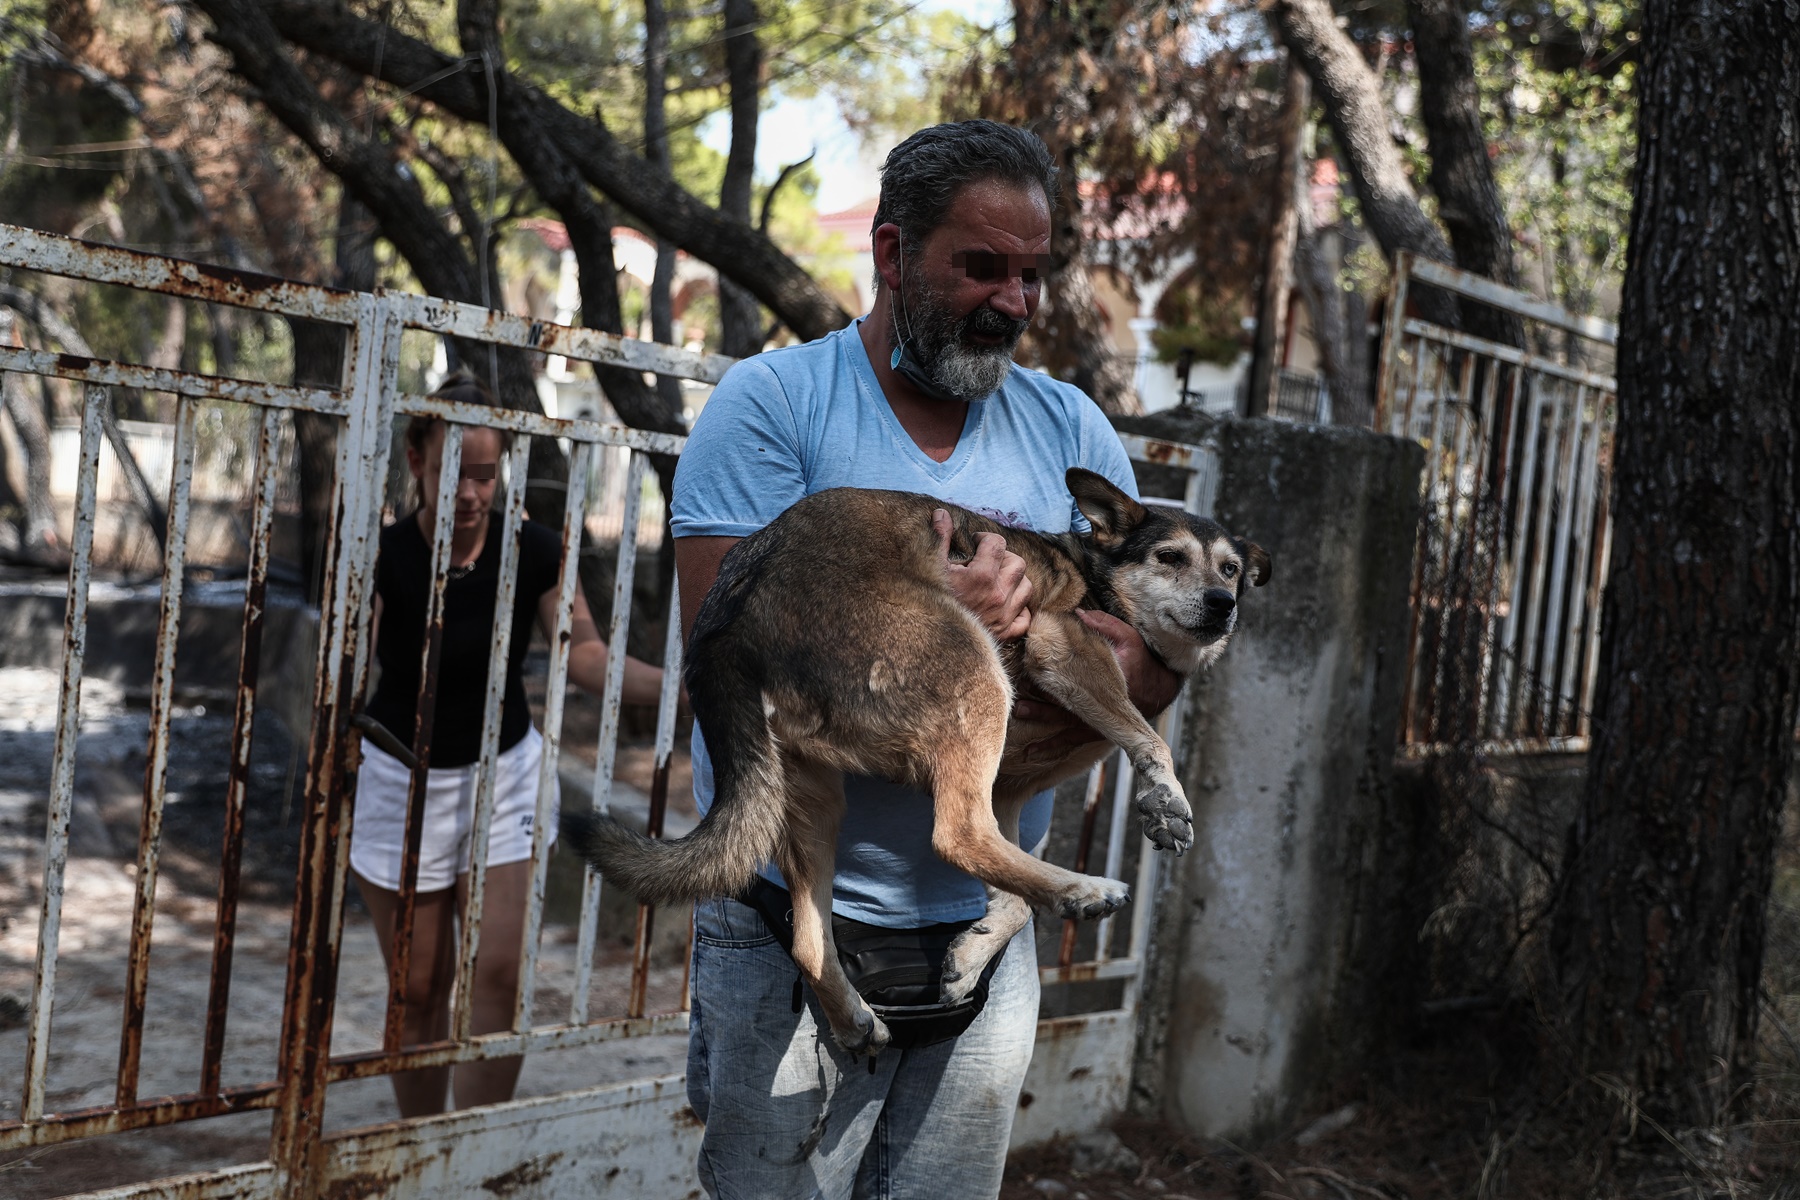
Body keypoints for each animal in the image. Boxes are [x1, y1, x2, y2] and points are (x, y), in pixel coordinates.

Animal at [561, 467, 1267, 1050]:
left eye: (1231, 569)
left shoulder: (1007, 786)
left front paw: (973, 954)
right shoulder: (1061, 644)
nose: (1223, 605)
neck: (1100, 580)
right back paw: (1083, 888)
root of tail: (732, 610)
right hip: (978, 668)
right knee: (958, 835)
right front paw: (1166, 800)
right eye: (1170, 558)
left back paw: (855, 1016)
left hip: (815, 796)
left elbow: (1013, 897)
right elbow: (1151, 739)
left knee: (811, 940)